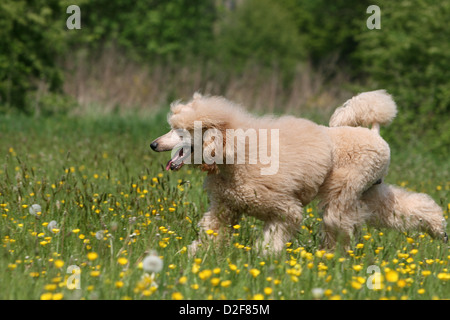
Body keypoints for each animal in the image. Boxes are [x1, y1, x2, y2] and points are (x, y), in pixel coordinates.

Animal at [150, 89, 446, 252]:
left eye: (180, 131)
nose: (153, 144)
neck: (236, 153)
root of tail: (373, 132)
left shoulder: (284, 209)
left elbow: (274, 237)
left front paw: (265, 259)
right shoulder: (224, 208)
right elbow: (211, 234)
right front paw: (193, 259)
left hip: (346, 190)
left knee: (340, 221)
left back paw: (332, 257)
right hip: (370, 189)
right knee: (403, 209)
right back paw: (438, 229)